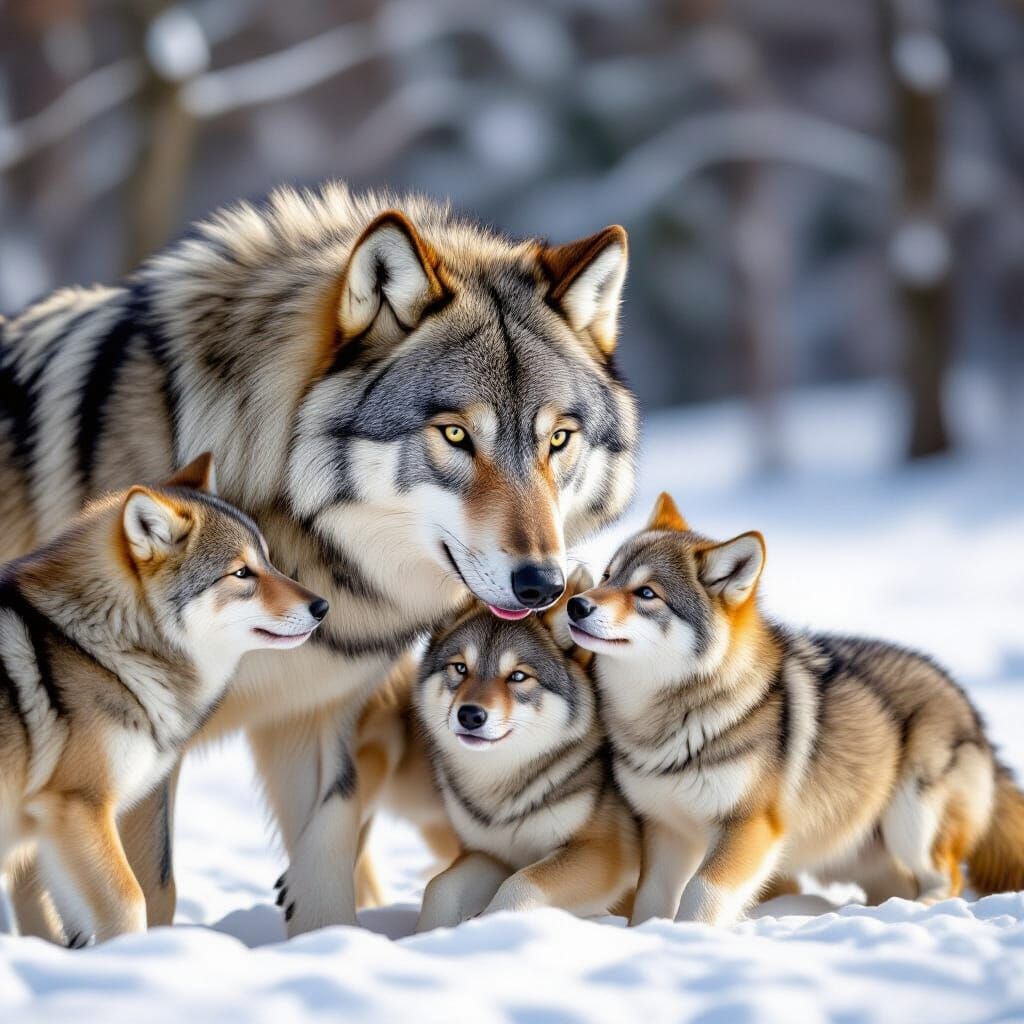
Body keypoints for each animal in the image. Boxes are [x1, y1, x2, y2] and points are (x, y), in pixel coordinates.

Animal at [0, 454, 325, 944]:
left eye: (268, 561)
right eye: (241, 573)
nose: (322, 607)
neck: (103, 648)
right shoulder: (79, 807)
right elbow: (130, 901)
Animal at [413, 570, 639, 931]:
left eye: (518, 676)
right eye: (460, 668)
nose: (470, 715)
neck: (500, 797)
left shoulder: (603, 851)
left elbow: (518, 886)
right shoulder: (491, 853)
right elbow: (439, 887)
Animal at [567, 493, 1024, 926]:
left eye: (646, 593)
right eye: (607, 576)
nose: (576, 605)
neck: (668, 721)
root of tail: (970, 706)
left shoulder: (750, 827)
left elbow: (702, 891)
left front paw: (692, 935)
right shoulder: (666, 830)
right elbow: (650, 901)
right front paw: (653, 935)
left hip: (912, 824)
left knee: (948, 878)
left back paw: (917, 910)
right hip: (858, 854)